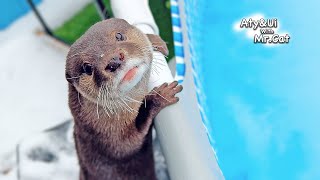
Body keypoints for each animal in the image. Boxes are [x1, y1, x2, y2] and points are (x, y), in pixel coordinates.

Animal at [64, 18, 182, 180]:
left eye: (119, 36)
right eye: (87, 68)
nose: (114, 60)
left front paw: (153, 39)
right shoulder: (108, 138)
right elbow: (131, 142)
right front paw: (161, 95)